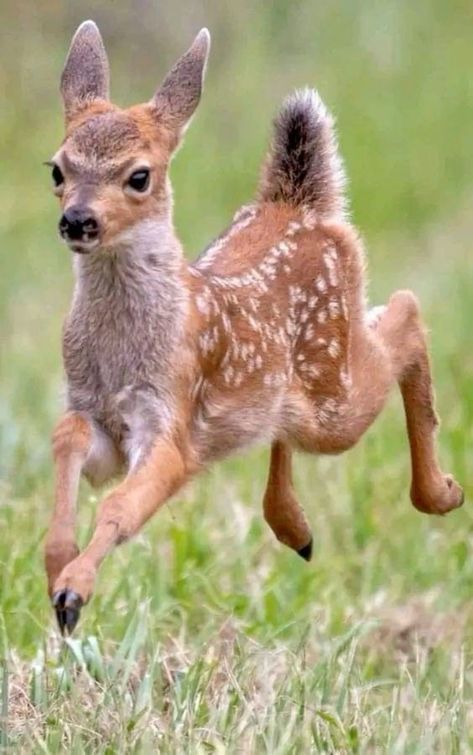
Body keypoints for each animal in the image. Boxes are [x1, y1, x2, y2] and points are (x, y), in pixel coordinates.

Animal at [46, 22, 462, 632]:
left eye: (139, 176)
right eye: (57, 168)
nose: (77, 220)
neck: (123, 348)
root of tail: (301, 205)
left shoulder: (170, 422)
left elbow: (121, 505)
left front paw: (74, 593)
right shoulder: (96, 416)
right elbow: (67, 438)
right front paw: (57, 570)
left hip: (332, 397)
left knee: (405, 311)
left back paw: (443, 493)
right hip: (300, 393)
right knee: (292, 415)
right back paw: (297, 528)